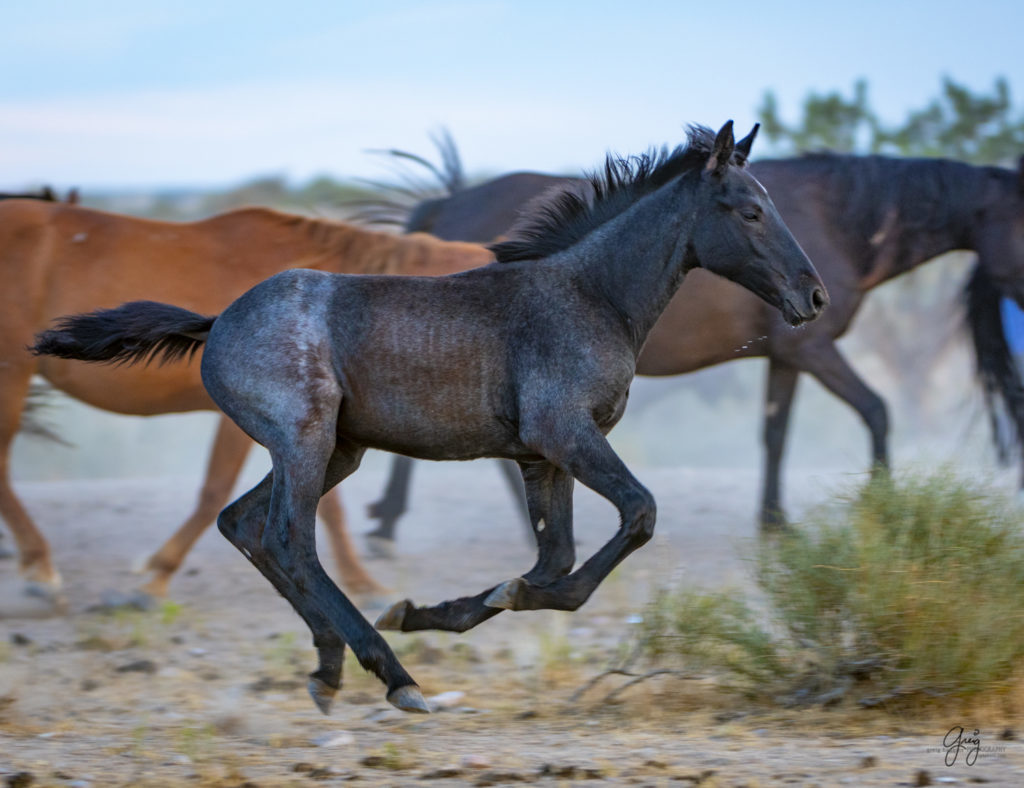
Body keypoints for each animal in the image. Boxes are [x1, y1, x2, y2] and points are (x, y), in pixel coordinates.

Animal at [0, 199, 491, 597]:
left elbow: (325, 507)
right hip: (11, 376)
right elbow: (218, 490)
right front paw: (159, 572)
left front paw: (360, 582)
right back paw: (40, 567)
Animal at [364, 144, 1024, 536]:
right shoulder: (813, 350)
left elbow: (775, 434)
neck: (838, 217)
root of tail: (447, 202)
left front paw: (775, 521)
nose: (813, 296)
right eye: (752, 214)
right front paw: (881, 511)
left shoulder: (788, 355)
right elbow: (878, 411)